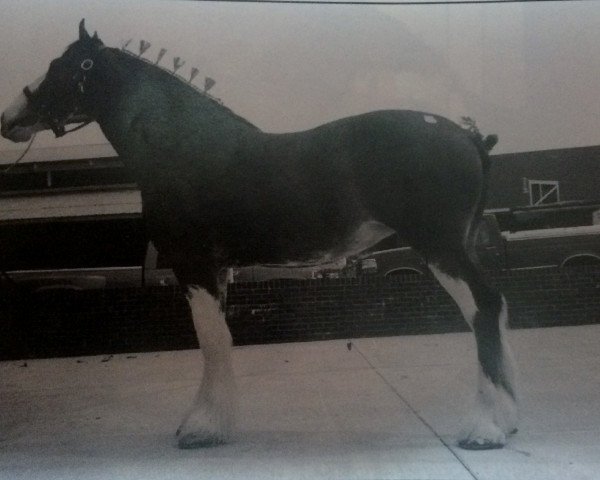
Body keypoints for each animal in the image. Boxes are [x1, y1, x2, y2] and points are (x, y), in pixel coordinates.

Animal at [0, 20, 516, 450]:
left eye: (61, 67)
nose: (8, 119)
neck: (181, 148)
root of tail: (468, 136)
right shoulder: (217, 270)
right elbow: (221, 337)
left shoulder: (194, 265)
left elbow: (211, 339)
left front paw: (202, 429)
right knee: (496, 306)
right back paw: (507, 419)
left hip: (441, 247)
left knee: (482, 308)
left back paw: (486, 429)